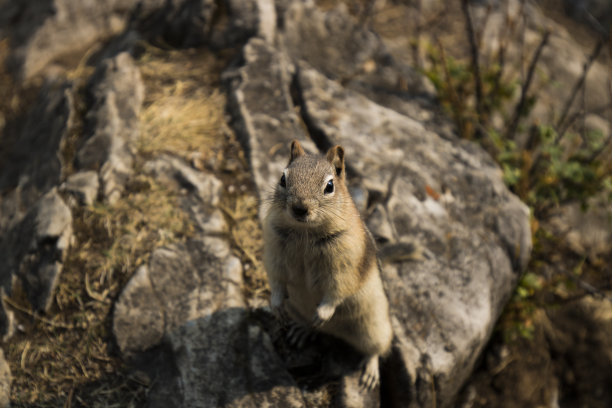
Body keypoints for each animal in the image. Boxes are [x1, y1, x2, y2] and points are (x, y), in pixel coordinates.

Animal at [262, 139, 392, 388]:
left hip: (373, 326)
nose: (300, 208)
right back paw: (303, 330)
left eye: (329, 186)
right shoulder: (274, 251)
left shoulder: (345, 265)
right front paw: (275, 304)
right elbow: (276, 278)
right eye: (283, 178)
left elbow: (337, 290)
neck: (305, 233)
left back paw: (369, 371)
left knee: (376, 348)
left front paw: (323, 313)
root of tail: (336, 333)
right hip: (296, 309)